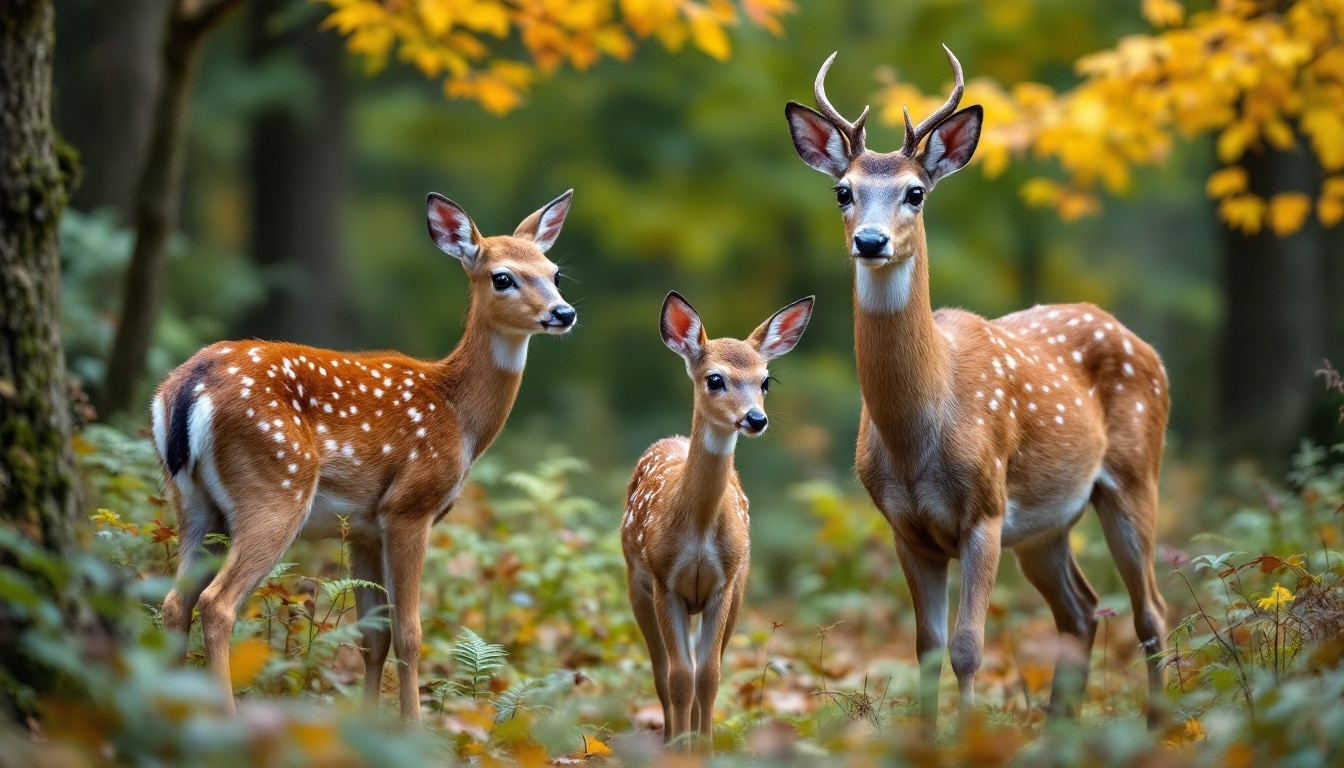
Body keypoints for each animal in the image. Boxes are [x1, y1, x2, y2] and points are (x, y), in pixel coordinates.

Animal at [152, 189, 577, 720]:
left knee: (175, 602)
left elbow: (373, 638)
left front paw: (371, 724)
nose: (564, 312)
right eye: (503, 277)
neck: (458, 414)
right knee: (217, 602)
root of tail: (187, 387)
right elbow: (410, 635)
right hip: (276, 486)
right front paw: (413, 728)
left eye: (554, 272)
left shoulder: (362, 531)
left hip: (192, 500)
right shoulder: (409, 506)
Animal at [623, 291, 811, 747]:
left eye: (766, 381)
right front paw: (680, 747)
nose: (756, 419)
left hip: (740, 586)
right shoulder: (664, 581)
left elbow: (708, 676)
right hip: (635, 582)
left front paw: (705, 748)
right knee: (661, 673)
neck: (698, 529)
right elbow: (678, 678)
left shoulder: (724, 583)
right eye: (714, 379)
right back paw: (670, 737)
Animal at [784, 51, 1171, 731]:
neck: (920, 434)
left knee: (1150, 611)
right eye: (843, 191)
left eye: (914, 192)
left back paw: (1158, 731)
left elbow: (968, 647)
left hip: (1132, 475)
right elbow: (925, 646)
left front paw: (967, 738)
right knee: (1081, 609)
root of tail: (1142, 345)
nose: (870, 241)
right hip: (1046, 525)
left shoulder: (986, 510)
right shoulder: (904, 525)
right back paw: (1059, 730)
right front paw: (929, 739)